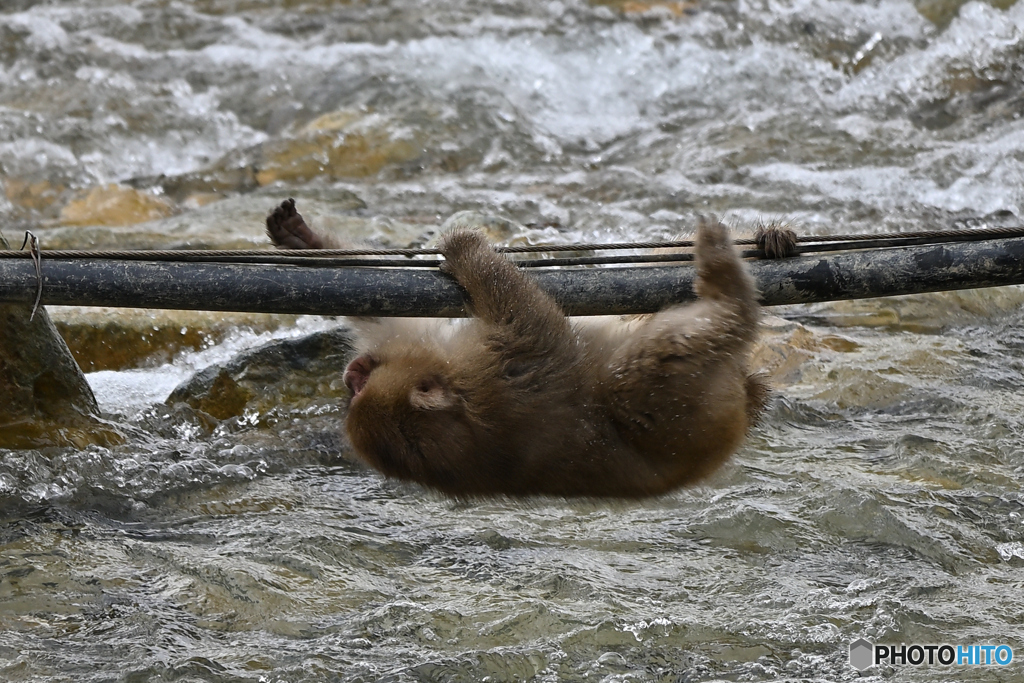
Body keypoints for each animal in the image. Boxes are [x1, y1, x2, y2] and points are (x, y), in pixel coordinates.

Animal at [264, 197, 770, 497]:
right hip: (676, 395)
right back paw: (727, 283)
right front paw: (467, 249)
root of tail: (742, 406)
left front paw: (303, 239)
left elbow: (386, 312)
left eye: (360, 384)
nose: (352, 373)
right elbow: (531, 322)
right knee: (649, 365)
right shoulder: (509, 380)